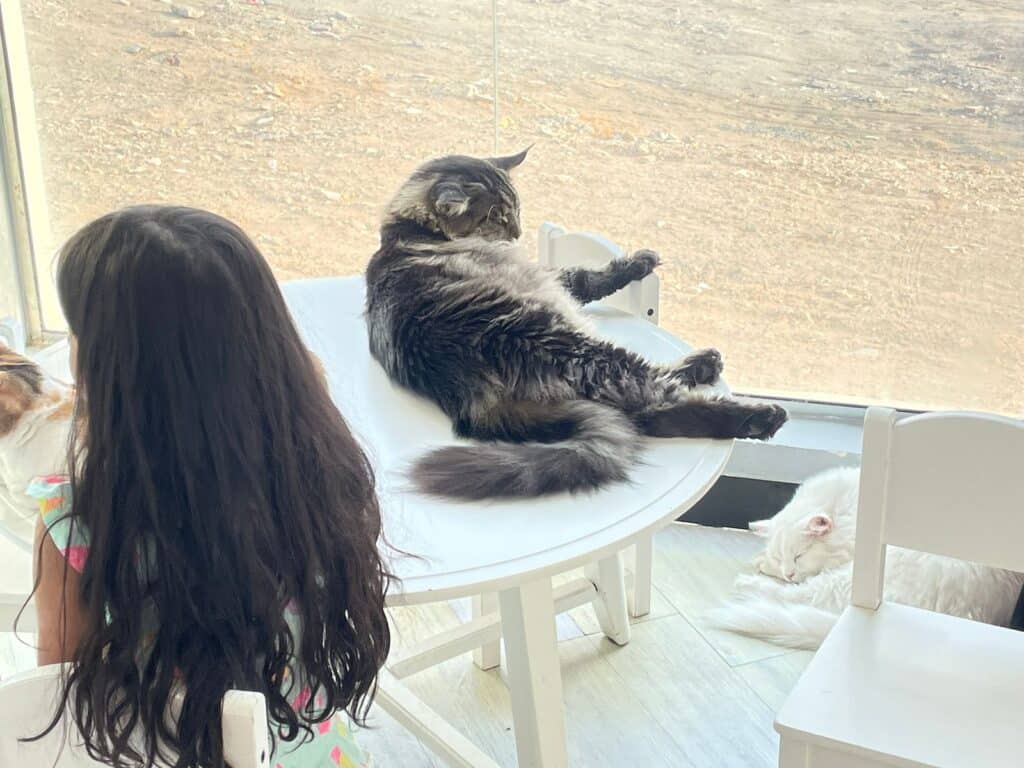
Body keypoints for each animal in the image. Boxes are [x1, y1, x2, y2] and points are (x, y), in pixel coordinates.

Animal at [364, 148, 786, 499]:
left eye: (515, 209)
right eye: (497, 216)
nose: (517, 233)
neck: (410, 228)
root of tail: (471, 396)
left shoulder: (553, 278)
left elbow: (586, 278)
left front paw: (638, 263)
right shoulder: (546, 277)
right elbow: (584, 276)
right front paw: (635, 263)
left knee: (651, 413)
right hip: (581, 347)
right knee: (654, 394)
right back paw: (752, 408)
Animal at [704, 468, 1024, 651]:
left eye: (799, 555)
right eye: (782, 557)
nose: (789, 573)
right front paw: (764, 560)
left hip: (848, 580)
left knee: (794, 596)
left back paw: (746, 585)